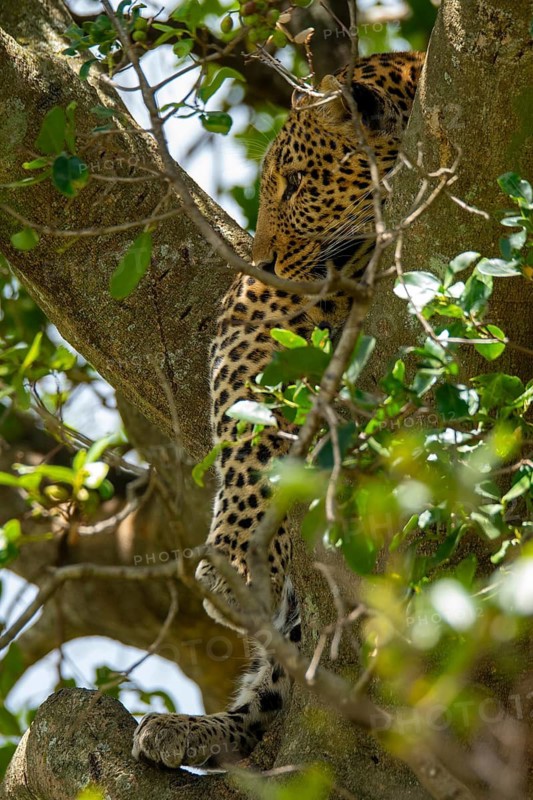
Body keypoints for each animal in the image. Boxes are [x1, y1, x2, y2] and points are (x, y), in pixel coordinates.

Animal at [133, 50, 426, 770]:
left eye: (295, 184)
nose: (258, 259)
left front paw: (236, 563)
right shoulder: (256, 314)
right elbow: (248, 439)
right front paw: (236, 563)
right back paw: (198, 728)